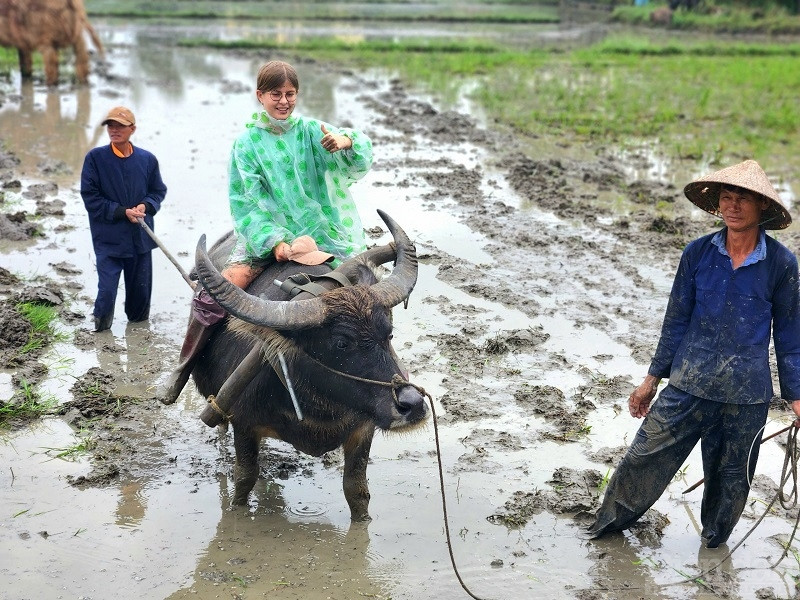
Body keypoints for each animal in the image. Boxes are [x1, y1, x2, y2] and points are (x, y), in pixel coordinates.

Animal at [191, 209, 428, 516]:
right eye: (341, 343)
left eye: (388, 333)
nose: (412, 404)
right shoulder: (243, 425)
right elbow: (244, 480)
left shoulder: (363, 430)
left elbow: (356, 490)